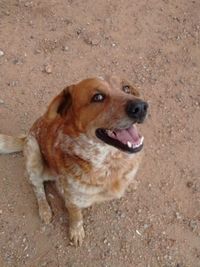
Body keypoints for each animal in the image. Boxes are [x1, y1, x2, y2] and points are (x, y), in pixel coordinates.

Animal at [0, 75, 148, 247]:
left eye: (126, 88)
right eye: (98, 97)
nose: (141, 106)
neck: (111, 163)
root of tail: (26, 136)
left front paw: (130, 184)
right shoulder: (72, 200)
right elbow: (76, 217)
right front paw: (76, 232)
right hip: (33, 153)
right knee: (37, 187)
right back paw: (44, 210)